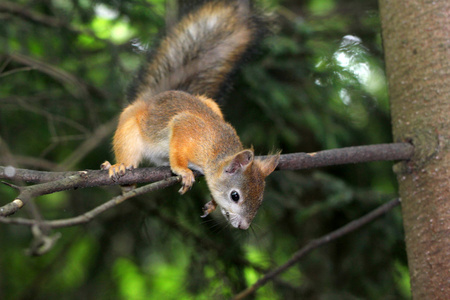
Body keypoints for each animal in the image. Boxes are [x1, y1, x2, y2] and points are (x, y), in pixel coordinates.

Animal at [100, 0, 280, 230]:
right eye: (235, 196)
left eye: (260, 199)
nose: (243, 226)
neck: (215, 150)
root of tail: (149, 101)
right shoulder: (186, 126)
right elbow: (178, 148)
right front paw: (183, 171)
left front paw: (212, 203)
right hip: (129, 130)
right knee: (128, 155)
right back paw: (120, 168)